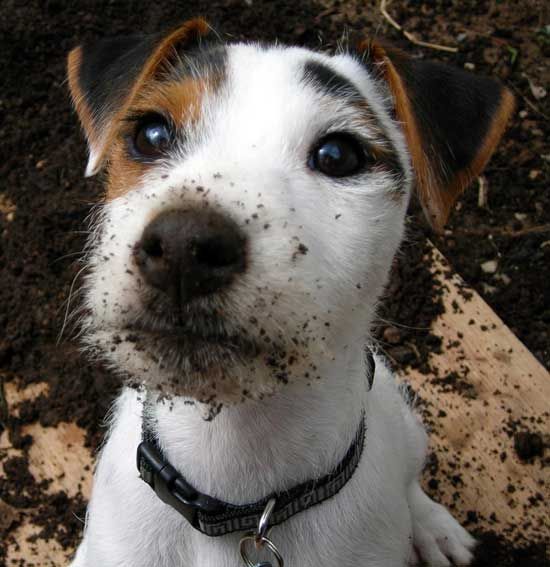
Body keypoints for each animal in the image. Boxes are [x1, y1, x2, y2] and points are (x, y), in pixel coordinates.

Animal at [67, 17, 516, 567]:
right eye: (151, 134)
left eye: (339, 154)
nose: (182, 247)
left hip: (405, 420)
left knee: (411, 478)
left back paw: (435, 528)